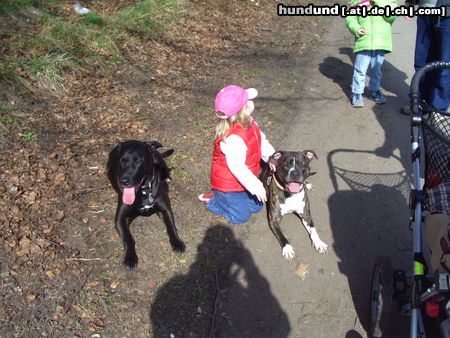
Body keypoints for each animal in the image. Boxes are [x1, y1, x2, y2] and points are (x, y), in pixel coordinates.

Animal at [107, 139, 185, 268]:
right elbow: (128, 238)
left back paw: (166, 177)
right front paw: (130, 257)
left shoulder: (165, 209)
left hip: (157, 158)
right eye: (122, 160)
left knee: (164, 166)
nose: (124, 181)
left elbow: (171, 227)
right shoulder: (120, 218)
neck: (144, 191)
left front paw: (177, 242)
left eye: (139, 161)